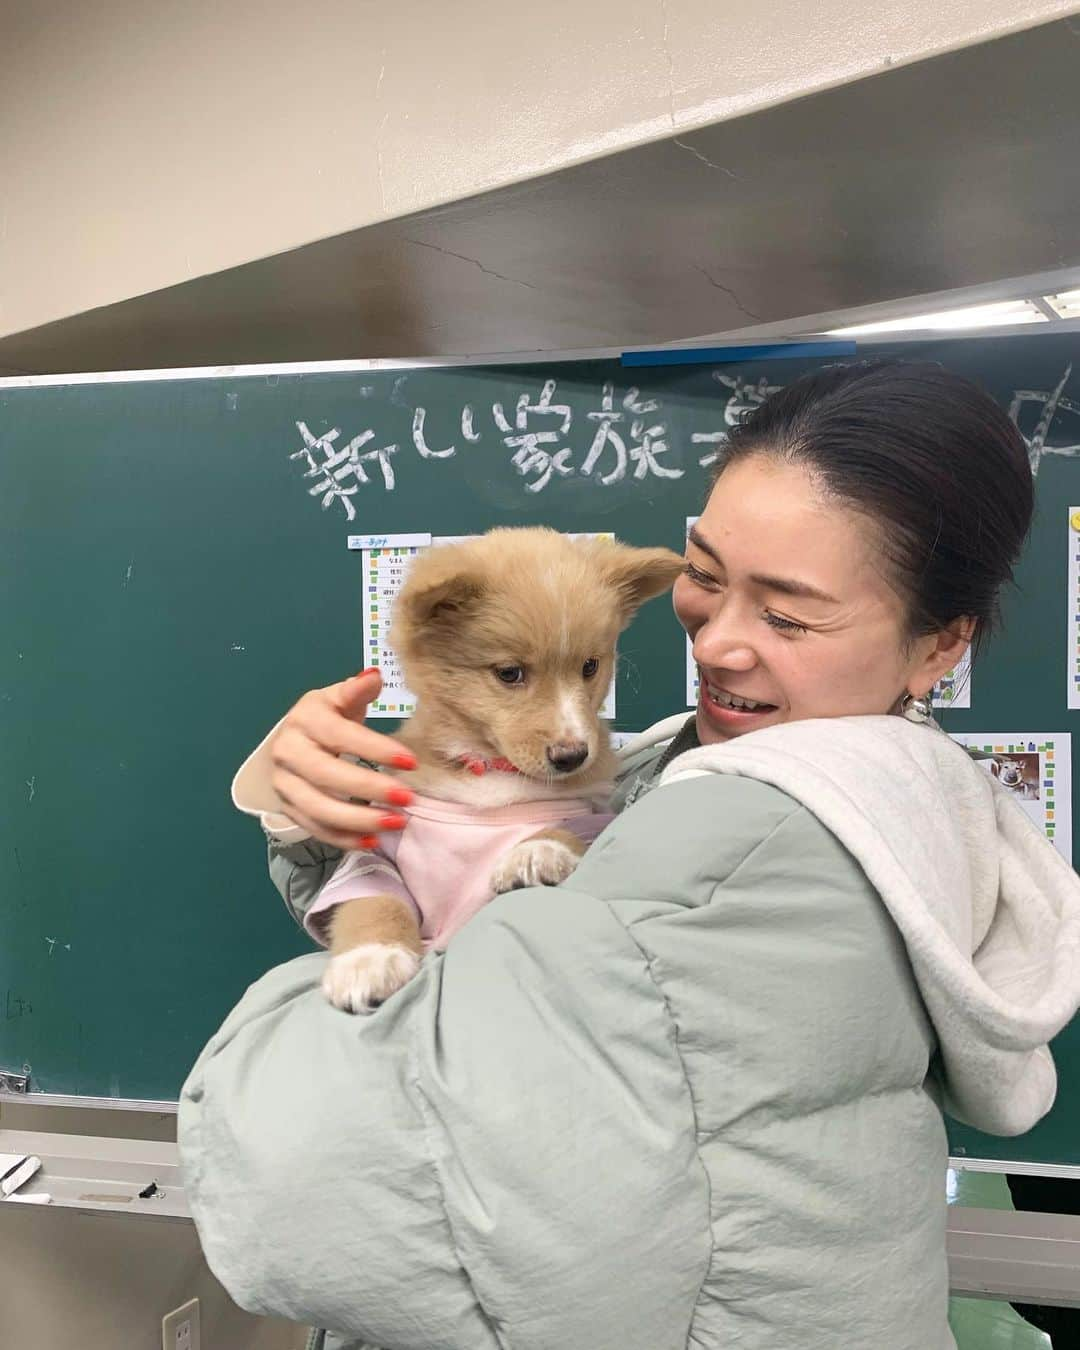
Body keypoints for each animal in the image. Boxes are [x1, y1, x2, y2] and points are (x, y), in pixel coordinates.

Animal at [314, 526, 683, 1015]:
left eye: (590, 665)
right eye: (509, 673)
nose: (573, 756)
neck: (491, 770)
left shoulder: (593, 814)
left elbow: (568, 829)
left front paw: (536, 851)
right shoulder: (377, 851)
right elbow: (372, 901)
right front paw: (369, 959)